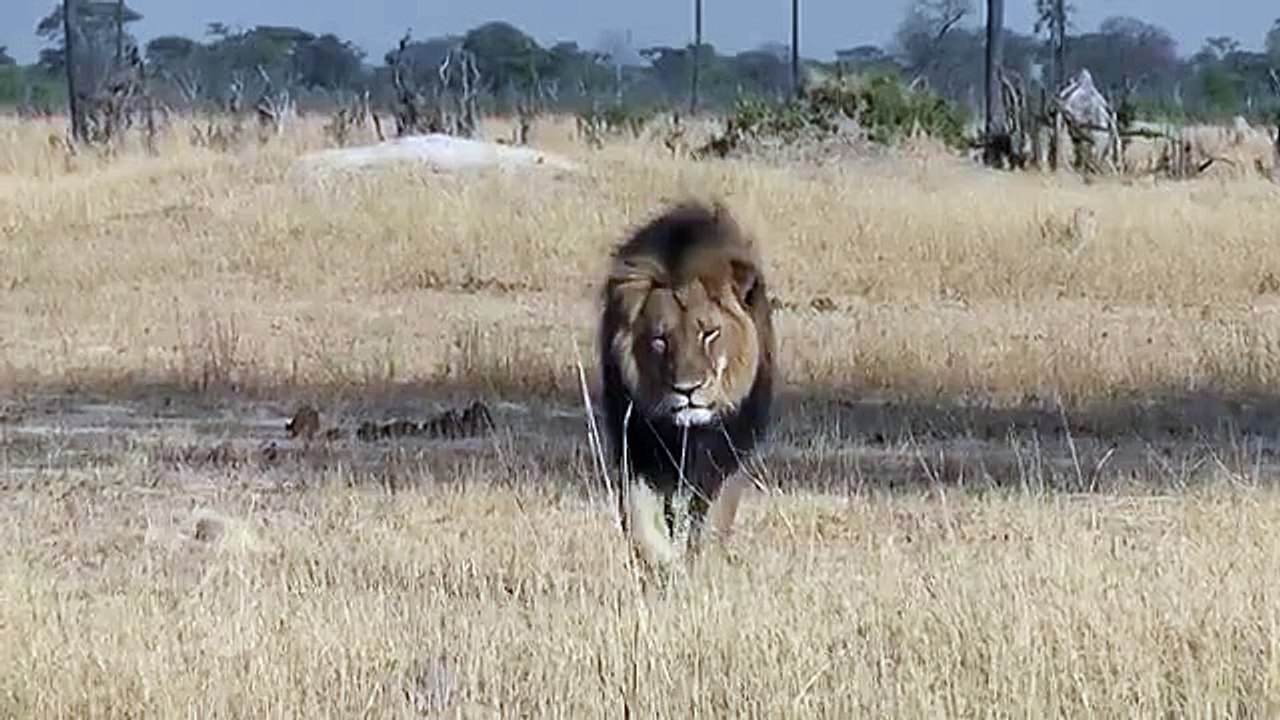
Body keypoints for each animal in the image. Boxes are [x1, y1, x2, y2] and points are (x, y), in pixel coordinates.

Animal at [598, 199, 776, 565]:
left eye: (709, 333)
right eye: (660, 340)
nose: (687, 389)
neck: (687, 436)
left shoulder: (728, 458)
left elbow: (711, 527)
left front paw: (700, 564)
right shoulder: (635, 449)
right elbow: (640, 524)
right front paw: (665, 564)